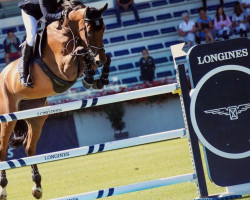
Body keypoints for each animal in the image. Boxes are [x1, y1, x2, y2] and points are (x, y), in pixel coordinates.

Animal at [0, 1, 110, 198]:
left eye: (103, 28)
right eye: (90, 30)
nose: (100, 59)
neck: (68, 30)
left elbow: (88, 56)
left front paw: (97, 78)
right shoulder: (63, 68)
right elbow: (81, 52)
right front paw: (91, 76)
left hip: (36, 116)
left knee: (30, 147)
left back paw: (37, 186)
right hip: (8, 118)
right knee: (3, 150)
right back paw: (3, 188)